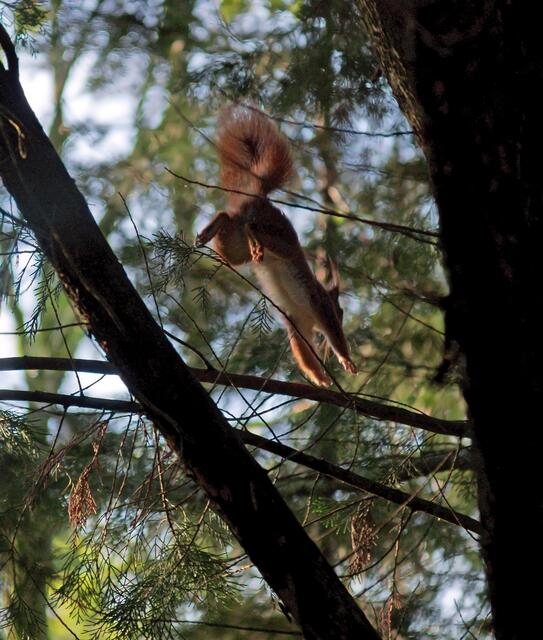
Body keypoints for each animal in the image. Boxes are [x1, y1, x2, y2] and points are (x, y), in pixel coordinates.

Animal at [196, 105, 357, 386]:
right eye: (340, 311)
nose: (342, 317)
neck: (309, 317)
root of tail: (260, 200)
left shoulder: (297, 325)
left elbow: (303, 354)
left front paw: (320, 379)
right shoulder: (319, 305)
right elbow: (333, 336)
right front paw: (345, 360)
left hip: (233, 247)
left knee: (227, 219)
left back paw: (208, 233)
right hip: (282, 243)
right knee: (257, 232)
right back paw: (255, 242)